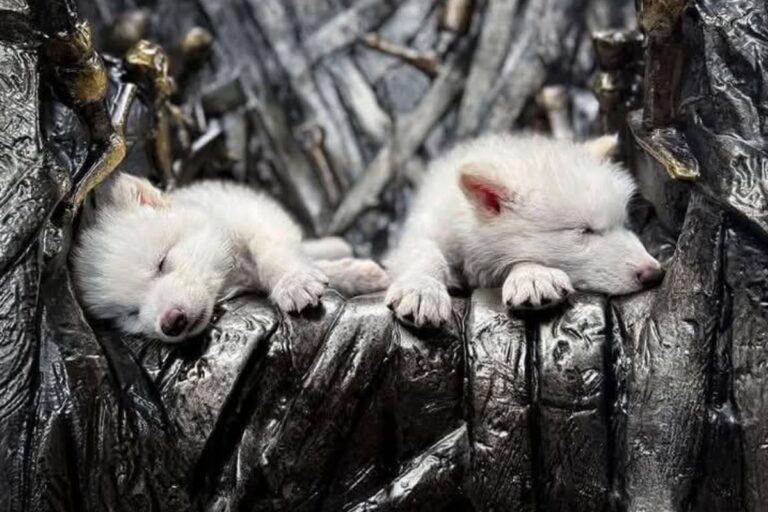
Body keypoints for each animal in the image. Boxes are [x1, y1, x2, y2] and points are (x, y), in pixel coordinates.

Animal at [72, 174, 389, 342]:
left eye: (161, 263)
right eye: (131, 314)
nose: (170, 322)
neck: (229, 274)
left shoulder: (256, 220)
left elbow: (274, 255)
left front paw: (294, 282)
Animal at [385, 133, 663, 327]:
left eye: (624, 224)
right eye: (585, 230)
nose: (655, 274)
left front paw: (533, 276)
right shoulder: (427, 228)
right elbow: (425, 252)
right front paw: (421, 289)